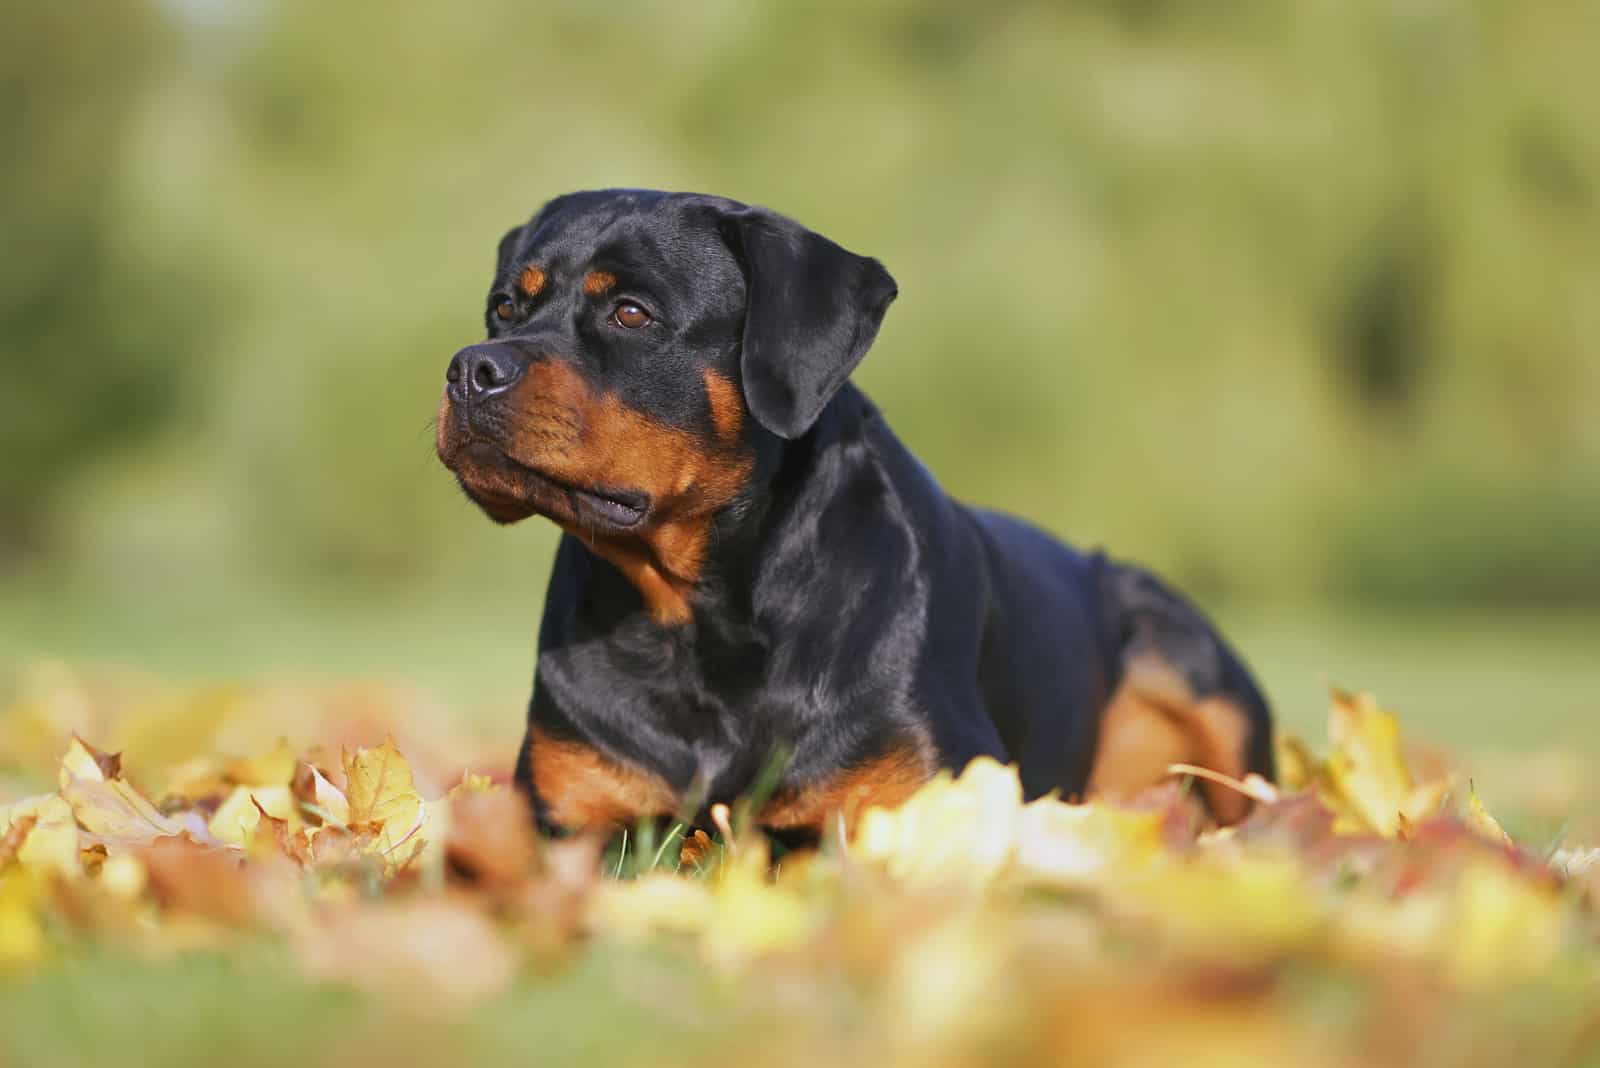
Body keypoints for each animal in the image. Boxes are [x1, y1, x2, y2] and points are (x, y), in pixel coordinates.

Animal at [438, 191, 1273, 844]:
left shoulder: (933, 794)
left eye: (631, 313)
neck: (695, 621)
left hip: (1187, 656)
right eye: (505, 306)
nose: (471, 367)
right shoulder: (564, 816)